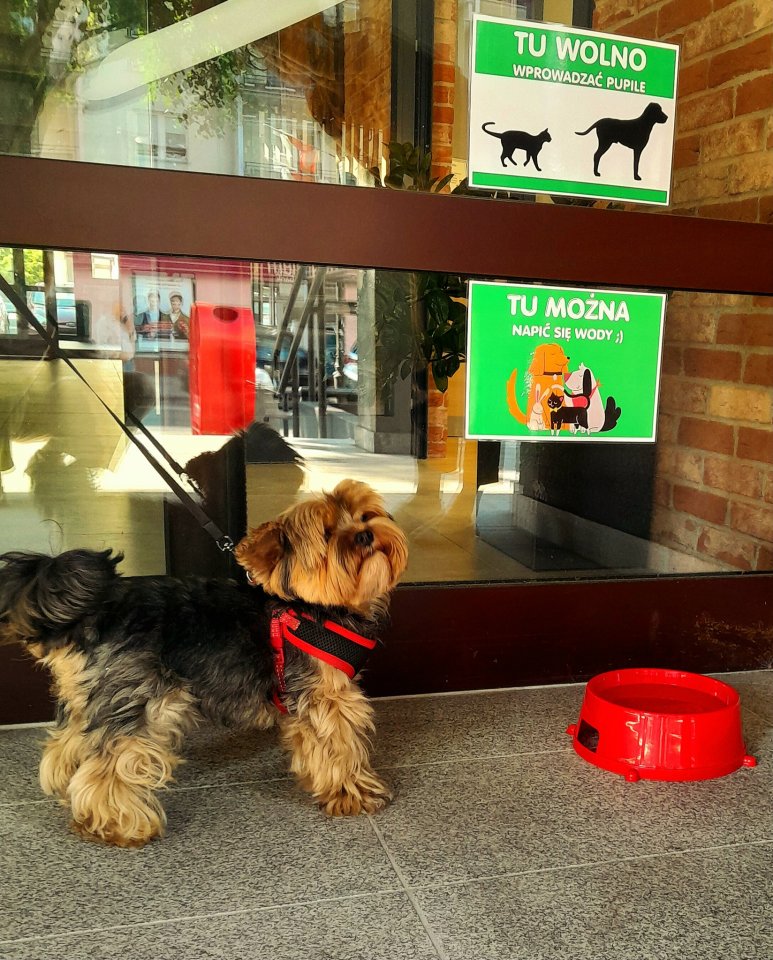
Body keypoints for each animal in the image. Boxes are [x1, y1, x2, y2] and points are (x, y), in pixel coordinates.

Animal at [0, 480, 410, 848]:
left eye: (365, 515)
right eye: (327, 533)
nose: (365, 534)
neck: (313, 608)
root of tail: (94, 613)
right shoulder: (325, 697)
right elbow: (338, 745)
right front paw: (353, 793)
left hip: (93, 696)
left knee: (67, 744)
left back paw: (69, 795)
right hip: (139, 695)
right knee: (110, 761)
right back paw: (117, 825)